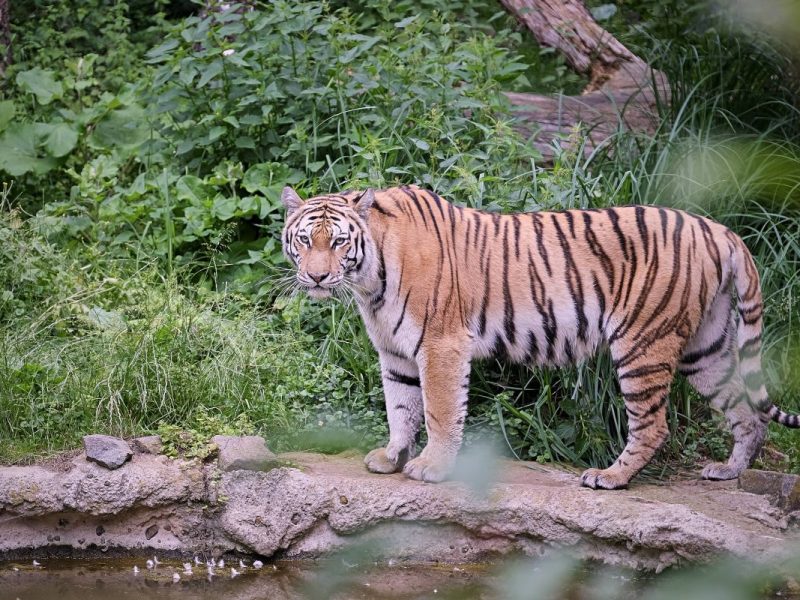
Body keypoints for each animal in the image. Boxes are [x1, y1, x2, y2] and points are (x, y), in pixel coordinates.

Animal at [282, 185, 800, 490]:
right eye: (306, 240)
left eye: (339, 242)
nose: (317, 277)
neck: (370, 278)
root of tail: (717, 228)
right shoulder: (395, 352)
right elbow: (401, 408)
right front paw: (391, 457)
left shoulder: (441, 345)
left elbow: (438, 411)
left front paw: (432, 467)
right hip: (705, 348)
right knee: (746, 411)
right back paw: (729, 471)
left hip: (643, 343)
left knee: (653, 424)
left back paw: (610, 476)